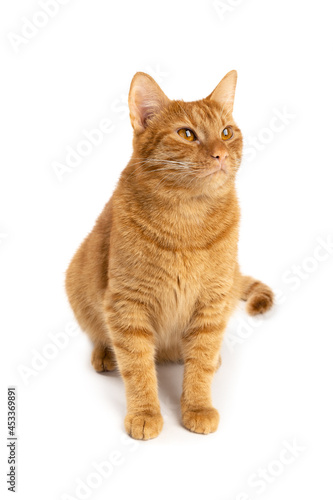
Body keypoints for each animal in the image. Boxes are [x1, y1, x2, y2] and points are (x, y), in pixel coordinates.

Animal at [65, 69, 272, 438]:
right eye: (187, 133)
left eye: (226, 132)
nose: (220, 153)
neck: (187, 223)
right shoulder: (126, 304)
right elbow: (137, 367)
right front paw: (145, 413)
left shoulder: (212, 302)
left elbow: (200, 363)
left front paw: (198, 406)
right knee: (99, 334)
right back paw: (104, 354)